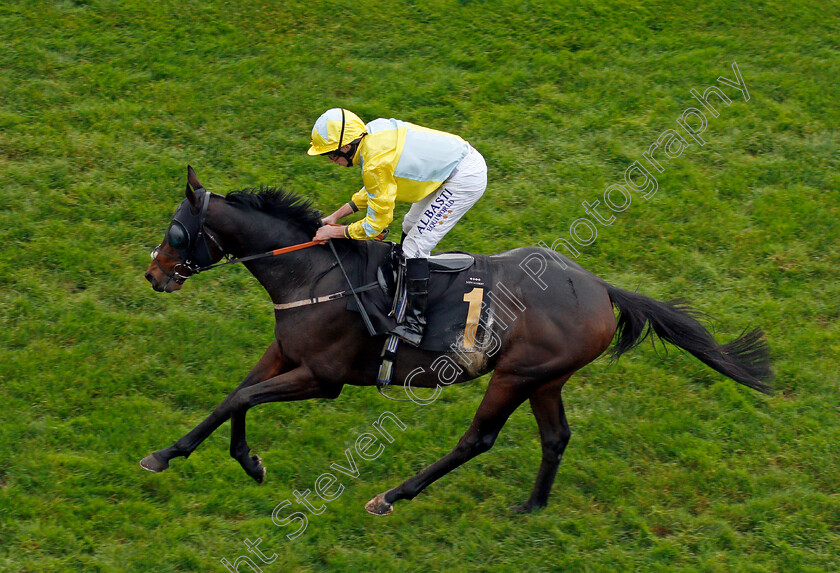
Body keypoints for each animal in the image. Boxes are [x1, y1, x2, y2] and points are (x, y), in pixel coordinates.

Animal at [139, 168, 776, 516]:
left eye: (177, 231)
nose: (153, 274)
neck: (311, 274)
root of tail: (600, 289)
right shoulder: (285, 354)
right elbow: (234, 397)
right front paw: (195, 455)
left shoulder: (322, 377)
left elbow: (245, 398)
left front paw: (232, 460)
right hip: (547, 378)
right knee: (556, 437)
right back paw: (532, 505)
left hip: (516, 374)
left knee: (479, 438)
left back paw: (392, 495)